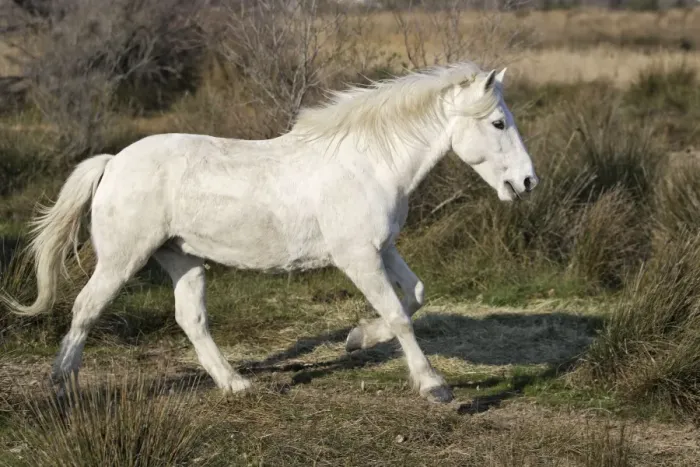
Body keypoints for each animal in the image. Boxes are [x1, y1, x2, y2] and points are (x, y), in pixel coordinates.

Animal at [3, 62, 538, 403]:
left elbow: (415, 298)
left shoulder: (382, 249)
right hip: (122, 259)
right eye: (498, 122)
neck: (368, 163)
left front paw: (356, 339)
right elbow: (400, 316)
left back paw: (236, 385)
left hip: (183, 258)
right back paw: (61, 384)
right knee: (85, 308)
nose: (527, 182)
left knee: (191, 320)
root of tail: (113, 162)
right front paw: (434, 386)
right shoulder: (359, 257)